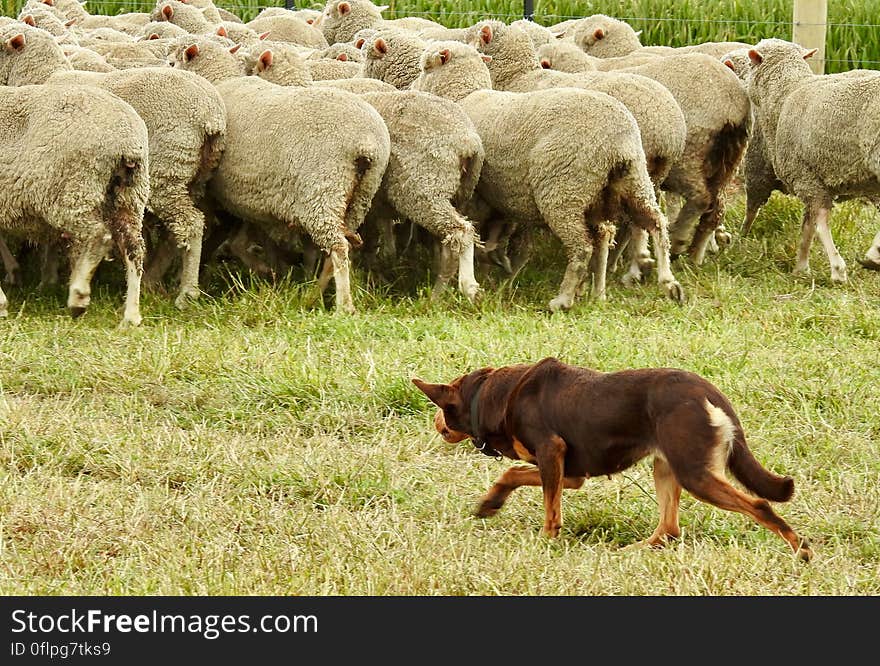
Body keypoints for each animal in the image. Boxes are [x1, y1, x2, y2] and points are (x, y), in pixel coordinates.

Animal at [0, 78, 149, 324]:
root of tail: (127, 139)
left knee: (99, 235)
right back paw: (131, 315)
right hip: (130, 196)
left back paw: (79, 297)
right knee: (134, 248)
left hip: (71, 190)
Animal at [170, 37, 390, 312]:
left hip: (323, 192)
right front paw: (274, 273)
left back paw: (343, 306)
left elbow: (231, 241)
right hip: (360, 196)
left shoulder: (224, 197)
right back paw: (312, 295)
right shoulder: (254, 200)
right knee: (342, 246)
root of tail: (366, 143)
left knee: (338, 247)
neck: (221, 81)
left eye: (172, 62)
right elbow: (247, 242)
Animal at [412, 356, 812, 556]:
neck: (491, 396)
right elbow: (512, 474)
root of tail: (709, 392)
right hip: (666, 466)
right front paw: (490, 503)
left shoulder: (551, 453)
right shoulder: (568, 473)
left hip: (694, 473)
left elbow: (549, 511)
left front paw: (546, 543)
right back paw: (630, 550)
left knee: (759, 505)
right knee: (668, 529)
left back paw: (800, 549)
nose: (433, 421)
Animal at [744, 37, 880, 276]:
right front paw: (801, 267)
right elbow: (808, 225)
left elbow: (818, 222)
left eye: (751, 64)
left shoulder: (804, 176)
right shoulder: (813, 180)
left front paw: (836, 268)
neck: (787, 91)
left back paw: (872, 256)